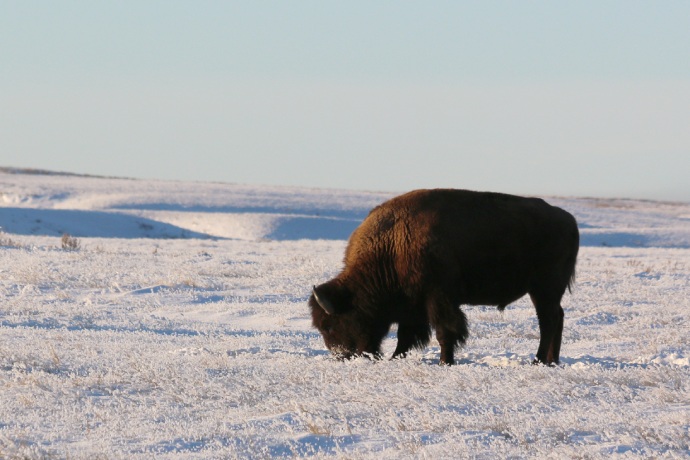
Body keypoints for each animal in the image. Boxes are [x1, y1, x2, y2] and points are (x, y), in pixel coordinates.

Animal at [310, 189, 576, 364]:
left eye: (331, 325)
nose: (341, 357)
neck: (392, 244)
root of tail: (569, 220)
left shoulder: (437, 298)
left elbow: (444, 331)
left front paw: (445, 362)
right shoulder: (413, 306)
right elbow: (406, 336)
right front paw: (396, 358)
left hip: (544, 289)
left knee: (548, 321)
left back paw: (539, 360)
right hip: (545, 293)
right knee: (557, 318)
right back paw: (553, 361)